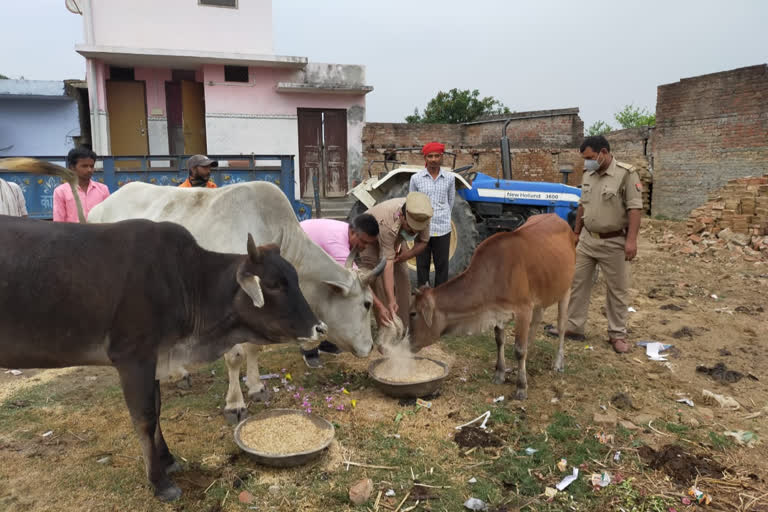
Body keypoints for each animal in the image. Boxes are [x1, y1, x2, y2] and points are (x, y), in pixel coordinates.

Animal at [0, 213, 328, 500]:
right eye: (273, 284)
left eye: (295, 278)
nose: (319, 328)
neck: (185, 281)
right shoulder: (133, 359)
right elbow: (144, 419)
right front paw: (160, 482)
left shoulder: (157, 359)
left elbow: (157, 412)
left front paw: (168, 459)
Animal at [88, 182, 384, 422]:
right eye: (367, 303)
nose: (370, 347)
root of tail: (100, 207)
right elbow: (235, 356)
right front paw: (235, 404)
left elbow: (253, 349)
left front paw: (256, 388)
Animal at [412, 212, 572, 400]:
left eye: (413, 313)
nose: (408, 342)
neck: (495, 273)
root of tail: (557, 217)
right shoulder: (497, 311)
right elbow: (499, 340)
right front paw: (500, 373)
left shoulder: (523, 309)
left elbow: (519, 349)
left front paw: (521, 387)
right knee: (536, 323)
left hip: (566, 289)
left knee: (561, 326)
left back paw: (558, 362)